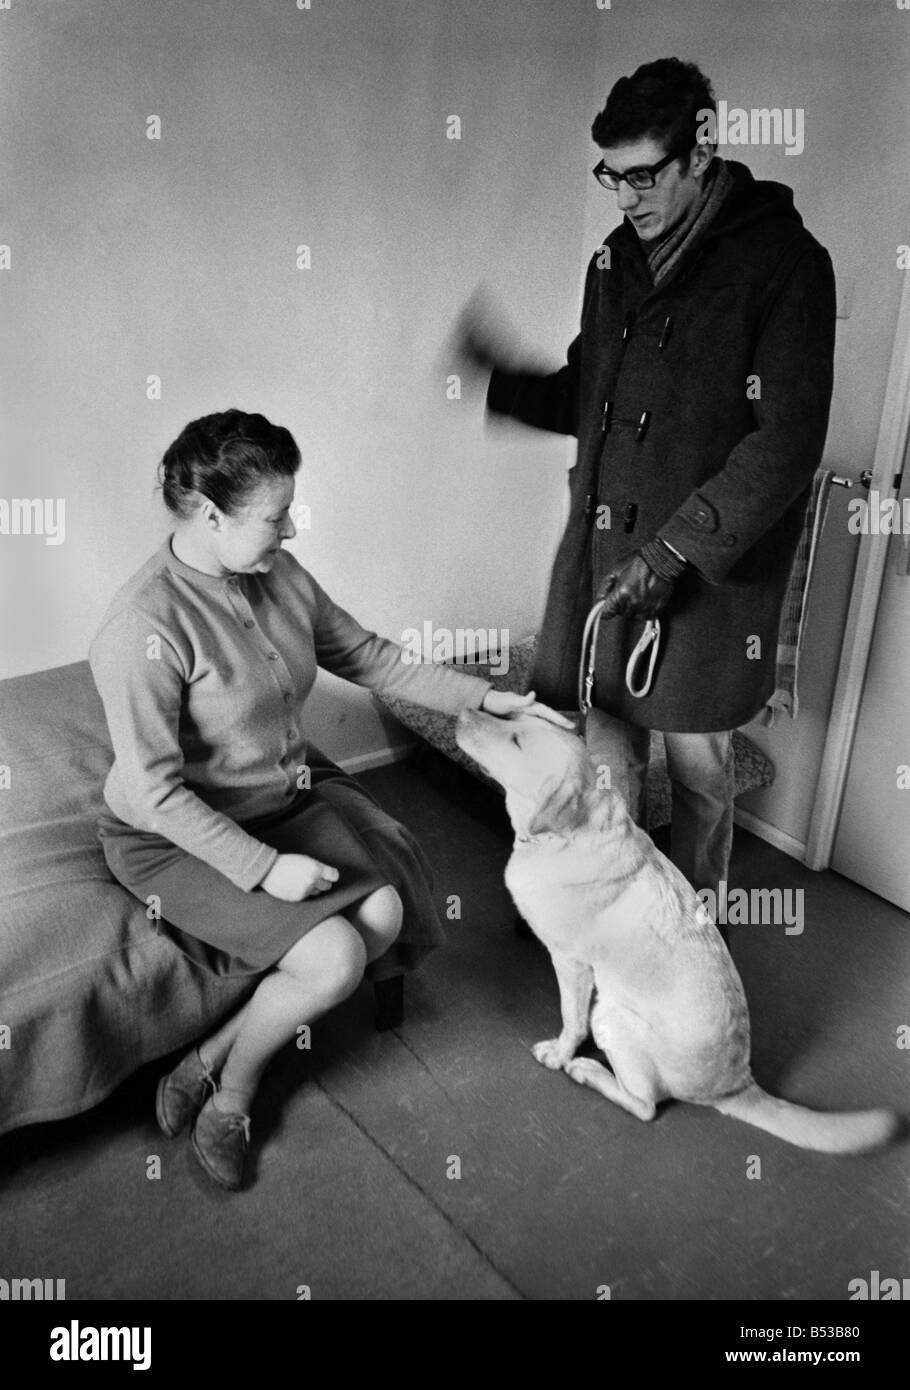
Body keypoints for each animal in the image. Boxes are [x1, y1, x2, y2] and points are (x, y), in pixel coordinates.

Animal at [455, 706, 894, 1150]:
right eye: (511, 715)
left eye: (517, 741)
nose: (464, 711)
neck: (570, 836)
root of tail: (737, 1085)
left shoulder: (571, 963)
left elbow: (570, 1017)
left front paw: (560, 1054)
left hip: (611, 1015)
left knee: (645, 1105)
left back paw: (588, 1071)